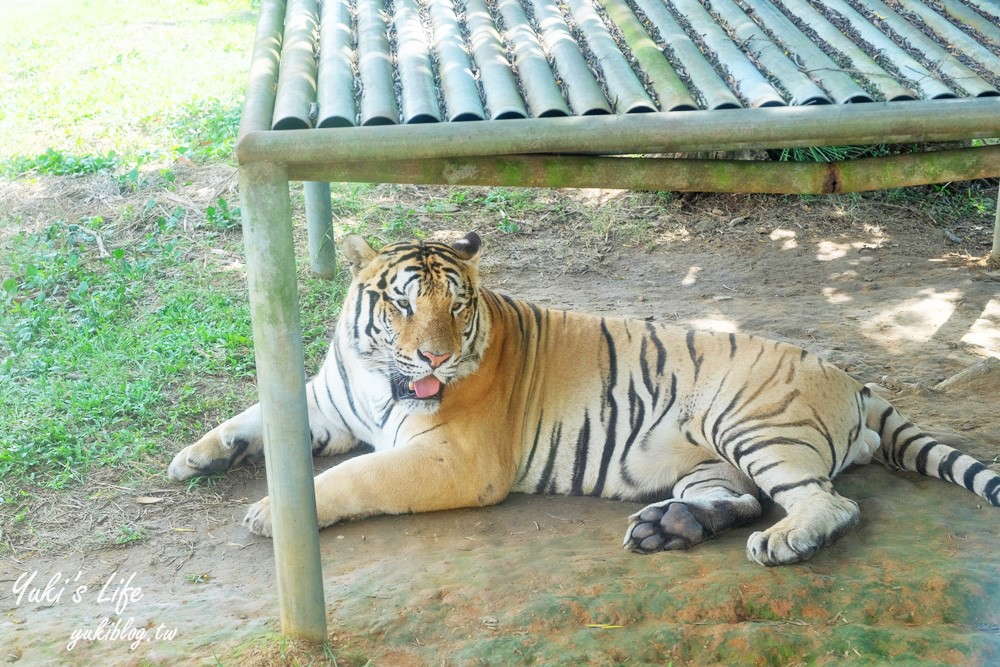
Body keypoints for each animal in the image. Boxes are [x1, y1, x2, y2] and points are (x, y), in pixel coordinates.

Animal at [170, 232, 1000, 568]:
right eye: (403, 304)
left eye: (456, 307)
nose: (435, 354)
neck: (382, 376)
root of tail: (854, 377)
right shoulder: (324, 400)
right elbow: (250, 418)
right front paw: (193, 458)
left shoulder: (456, 457)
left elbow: (353, 476)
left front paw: (271, 511)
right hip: (718, 456)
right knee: (739, 498)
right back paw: (667, 526)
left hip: (755, 425)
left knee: (826, 503)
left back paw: (783, 542)